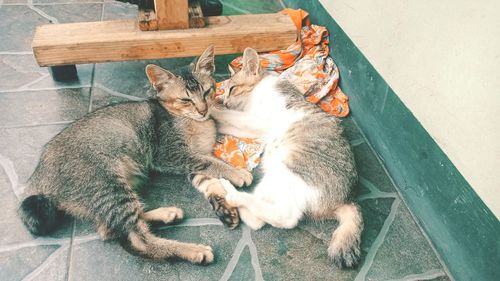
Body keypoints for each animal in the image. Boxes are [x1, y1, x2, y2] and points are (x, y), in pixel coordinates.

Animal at [19, 45, 250, 262]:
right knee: (137, 240)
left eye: (207, 91)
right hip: (108, 186)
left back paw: (165, 214)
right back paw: (192, 250)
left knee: (110, 229)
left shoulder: (191, 161)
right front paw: (237, 173)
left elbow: (209, 178)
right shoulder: (171, 154)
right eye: (185, 100)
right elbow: (211, 163)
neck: (194, 122)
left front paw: (223, 205)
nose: (203, 110)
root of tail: (37, 178)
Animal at [211, 47, 364, 266]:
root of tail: (347, 198)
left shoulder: (256, 121)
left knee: (286, 217)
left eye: (231, 89)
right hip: (273, 178)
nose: (223, 100)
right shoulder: (253, 127)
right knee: (259, 219)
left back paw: (229, 191)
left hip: (288, 171)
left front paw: (211, 110)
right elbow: (230, 123)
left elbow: (229, 116)